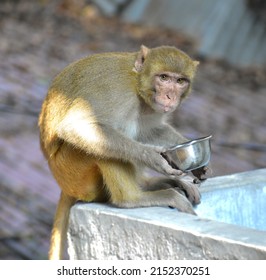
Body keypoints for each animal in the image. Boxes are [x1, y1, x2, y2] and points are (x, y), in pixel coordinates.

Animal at [38, 44, 203, 260]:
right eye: (164, 78)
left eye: (180, 81)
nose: (170, 96)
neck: (137, 83)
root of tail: (63, 186)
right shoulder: (115, 91)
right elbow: (75, 128)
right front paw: (153, 158)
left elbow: (150, 131)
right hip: (72, 175)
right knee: (104, 148)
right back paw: (134, 198)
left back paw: (153, 184)